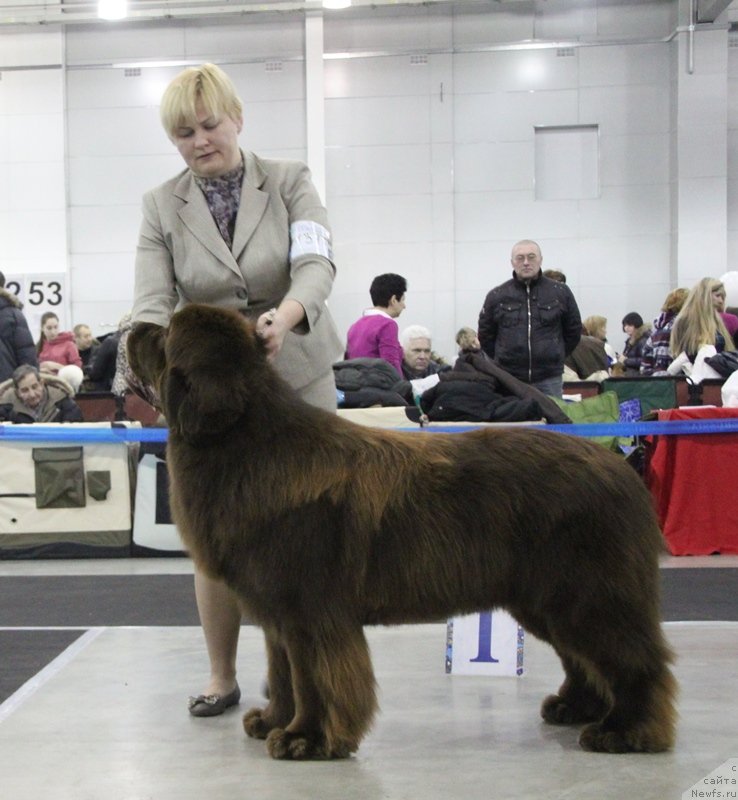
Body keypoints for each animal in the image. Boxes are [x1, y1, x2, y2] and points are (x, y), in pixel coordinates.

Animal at [128, 304, 672, 760]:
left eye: (166, 333)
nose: (135, 325)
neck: (246, 443)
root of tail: (618, 469)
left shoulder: (308, 609)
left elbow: (311, 678)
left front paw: (306, 737)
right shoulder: (277, 612)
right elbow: (282, 674)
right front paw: (272, 722)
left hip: (588, 594)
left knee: (634, 660)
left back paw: (626, 731)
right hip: (547, 599)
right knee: (582, 658)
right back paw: (574, 708)